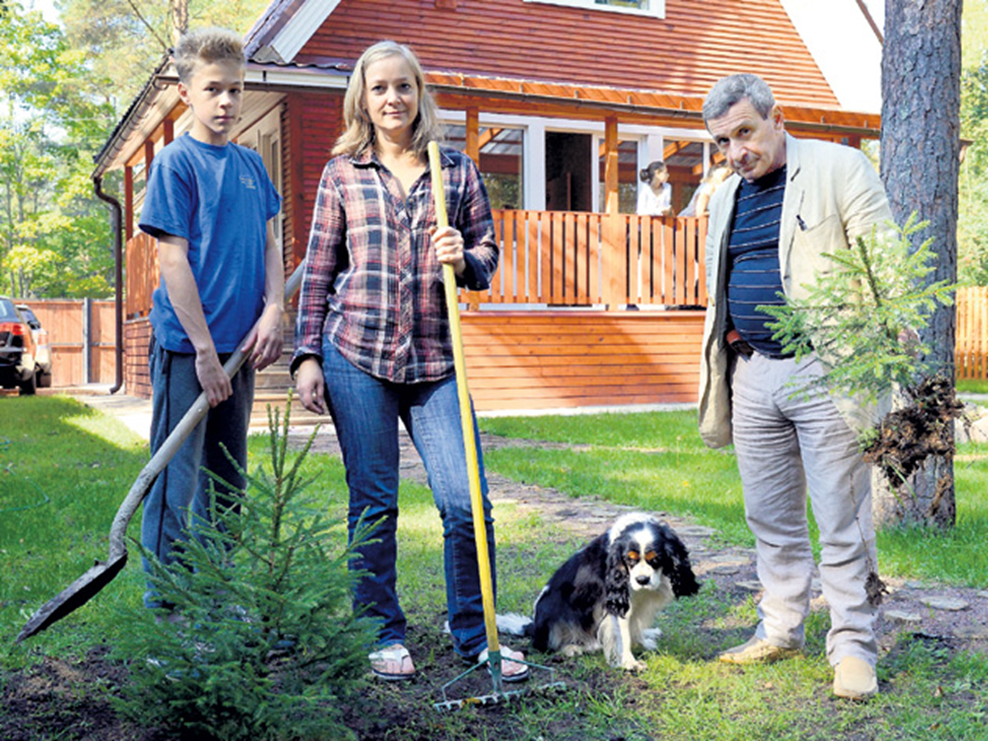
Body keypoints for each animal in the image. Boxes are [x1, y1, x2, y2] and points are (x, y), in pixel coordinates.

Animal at [498, 516, 700, 672]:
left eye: (656, 559)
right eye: (629, 560)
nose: (642, 579)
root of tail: (532, 626)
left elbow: (634, 629)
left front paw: (643, 642)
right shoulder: (618, 602)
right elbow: (623, 635)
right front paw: (629, 663)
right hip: (551, 608)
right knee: (545, 645)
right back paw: (573, 647)